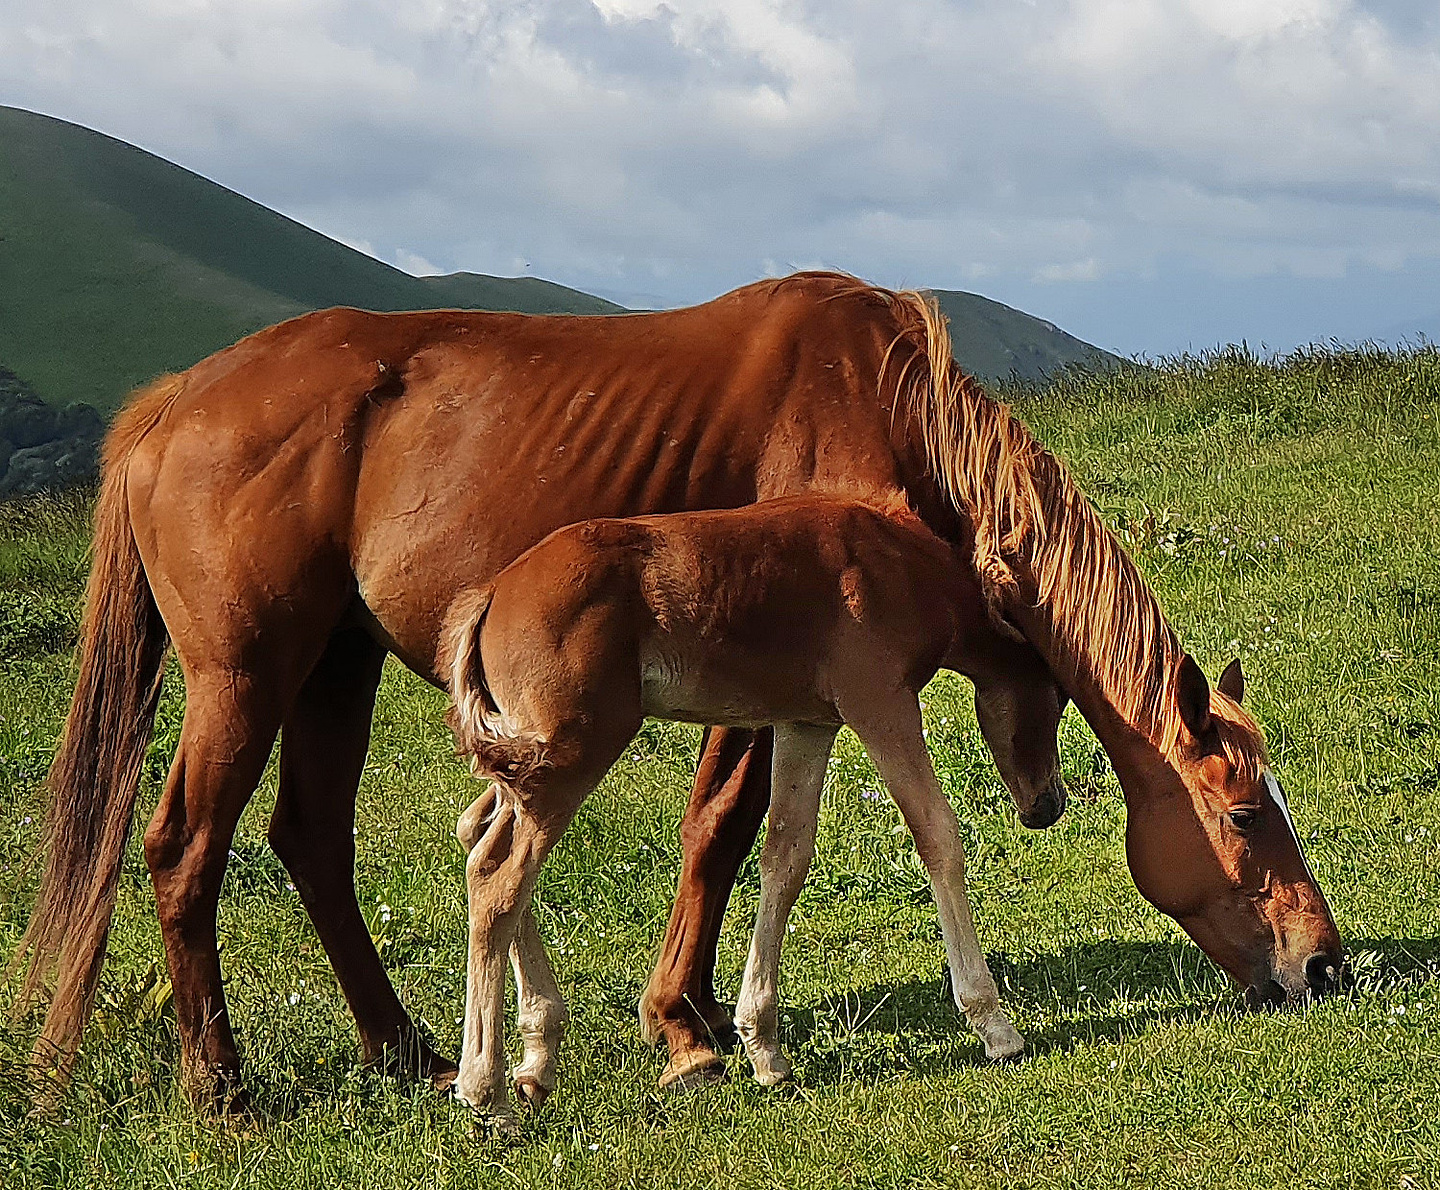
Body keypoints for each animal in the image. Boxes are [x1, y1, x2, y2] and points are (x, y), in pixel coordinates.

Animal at [449, 492, 1036, 1123]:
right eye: (1050, 695)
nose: (1044, 804)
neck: (897, 559)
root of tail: (492, 597)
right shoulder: (881, 703)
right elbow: (938, 835)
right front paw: (994, 1024)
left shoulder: (808, 723)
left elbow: (786, 854)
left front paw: (764, 1047)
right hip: (571, 757)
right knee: (498, 878)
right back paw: (484, 1087)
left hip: (523, 768)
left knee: (478, 836)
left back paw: (536, 1055)